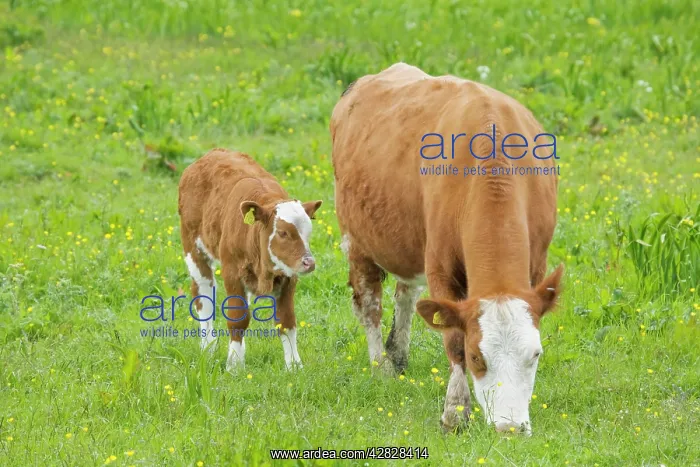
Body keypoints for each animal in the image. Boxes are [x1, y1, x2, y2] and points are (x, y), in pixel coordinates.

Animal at [178, 149, 322, 371]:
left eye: (309, 232)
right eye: (282, 233)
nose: (309, 262)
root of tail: (211, 154)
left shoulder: (289, 277)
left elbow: (286, 320)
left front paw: (294, 366)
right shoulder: (232, 272)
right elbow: (238, 318)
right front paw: (234, 365)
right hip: (193, 247)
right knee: (204, 293)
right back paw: (208, 346)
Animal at [330, 63, 563, 434]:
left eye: (535, 354)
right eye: (476, 356)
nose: (511, 428)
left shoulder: (537, 264)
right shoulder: (440, 267)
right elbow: (451, 338)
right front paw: (455, 410)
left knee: (405, 295)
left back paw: (398, 353)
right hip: (356, 238)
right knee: (369, 305)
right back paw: (382, 366)